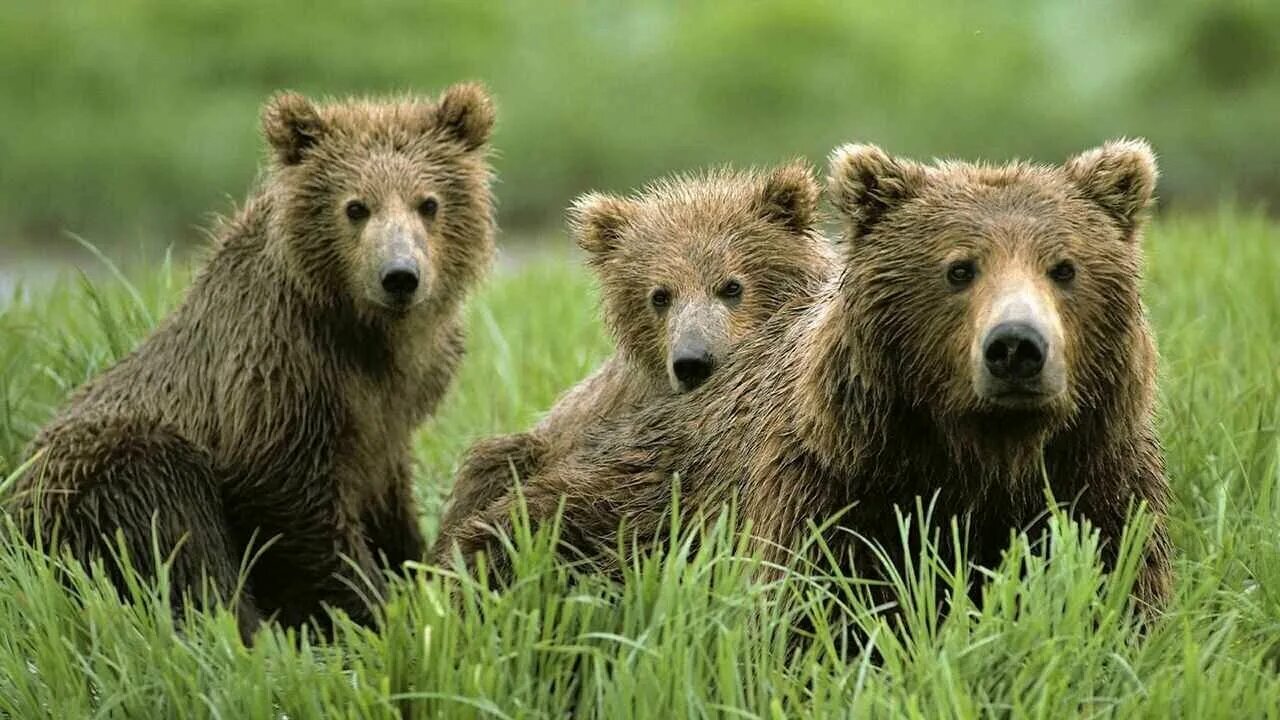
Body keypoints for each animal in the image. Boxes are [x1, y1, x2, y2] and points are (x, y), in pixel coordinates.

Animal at [6, 84, 497, 640]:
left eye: (428, 203)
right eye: (356, 207)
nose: (400, 276)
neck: (366, 336)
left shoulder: (393, 408)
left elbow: (389, 498)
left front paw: (415, 569)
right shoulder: (278, 375)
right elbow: (294, 506)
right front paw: (380, 610)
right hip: (107, 472)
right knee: (176, 531)